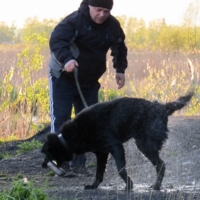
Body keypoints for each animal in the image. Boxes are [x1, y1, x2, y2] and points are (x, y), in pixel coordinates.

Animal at [41, 92, 193, 191]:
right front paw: (93, 186)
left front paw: (129, 186)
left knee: (161, 164)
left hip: (145, 145)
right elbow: (99, 173)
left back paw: (156, 186)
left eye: (47, 154)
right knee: (160, 165)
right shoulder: (101, 153)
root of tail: (162, 107)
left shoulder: (116, 147)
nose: (43, 165)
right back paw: (155, 185)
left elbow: (120, 170)